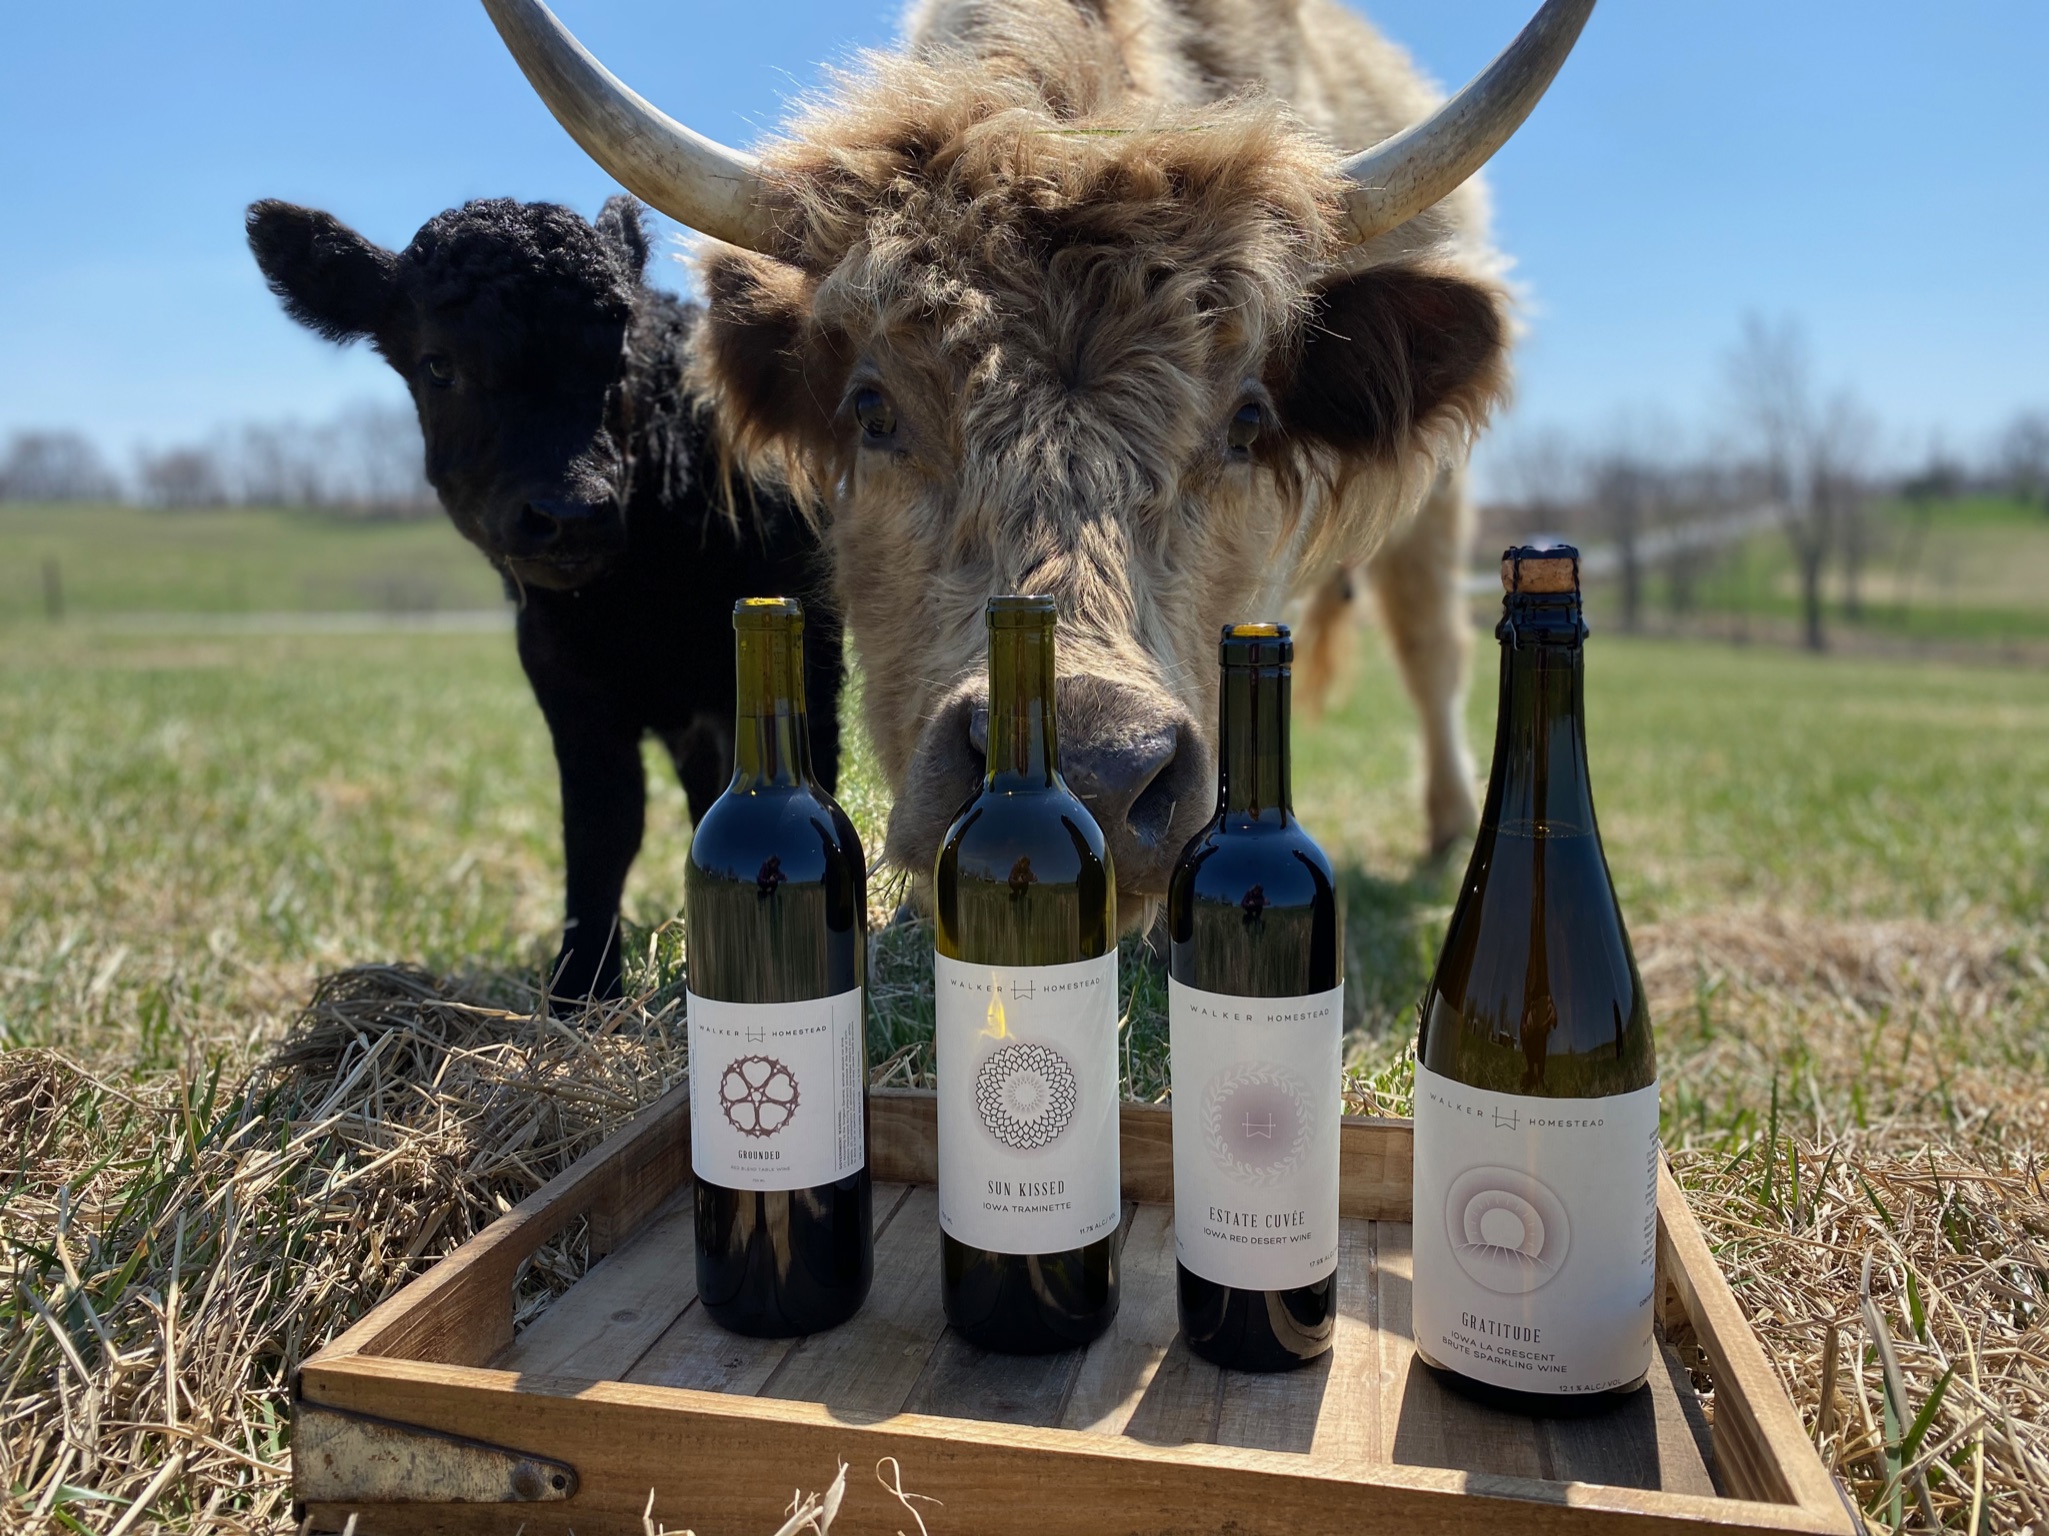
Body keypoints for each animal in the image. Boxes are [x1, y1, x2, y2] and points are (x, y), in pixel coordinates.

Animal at [483, 0, 1598, 925]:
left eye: (1246, 421)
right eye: (873, 408)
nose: (1096, 773)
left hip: (1440, 503)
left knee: (1429, 642)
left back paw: (1447, 830)